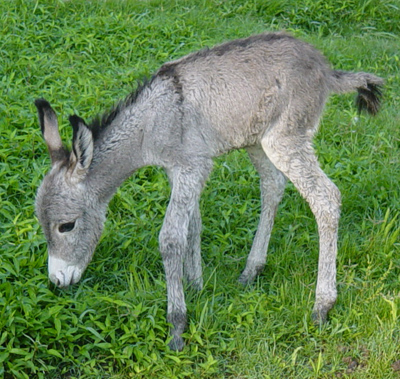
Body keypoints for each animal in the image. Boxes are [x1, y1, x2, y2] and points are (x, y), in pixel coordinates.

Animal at [36, 31, 382, 350]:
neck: (152, 124)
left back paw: (322, 305)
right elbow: (193, 225)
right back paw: (251, 270)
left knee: (326, 198)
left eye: (66, 226)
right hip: (257, 140)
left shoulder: (191, 167)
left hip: (285, 139)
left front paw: (177, 323)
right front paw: (196, 284)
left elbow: (170, 238)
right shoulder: (180, 171)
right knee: (272, 185)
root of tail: (324, 67)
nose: (56, 281)